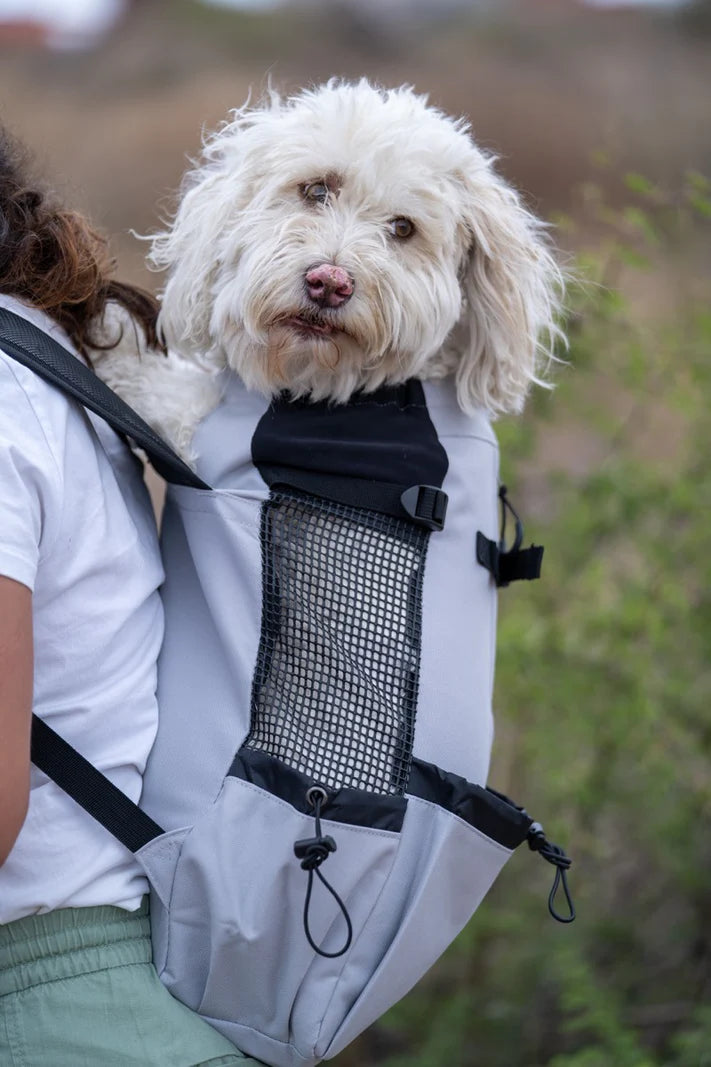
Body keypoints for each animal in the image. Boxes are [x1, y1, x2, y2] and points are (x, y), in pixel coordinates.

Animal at [93, 78, 563, 454]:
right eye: (317, 190)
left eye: (403, 227)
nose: (329, 284)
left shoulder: (207, 436)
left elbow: (167, 392)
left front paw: (110, 333)